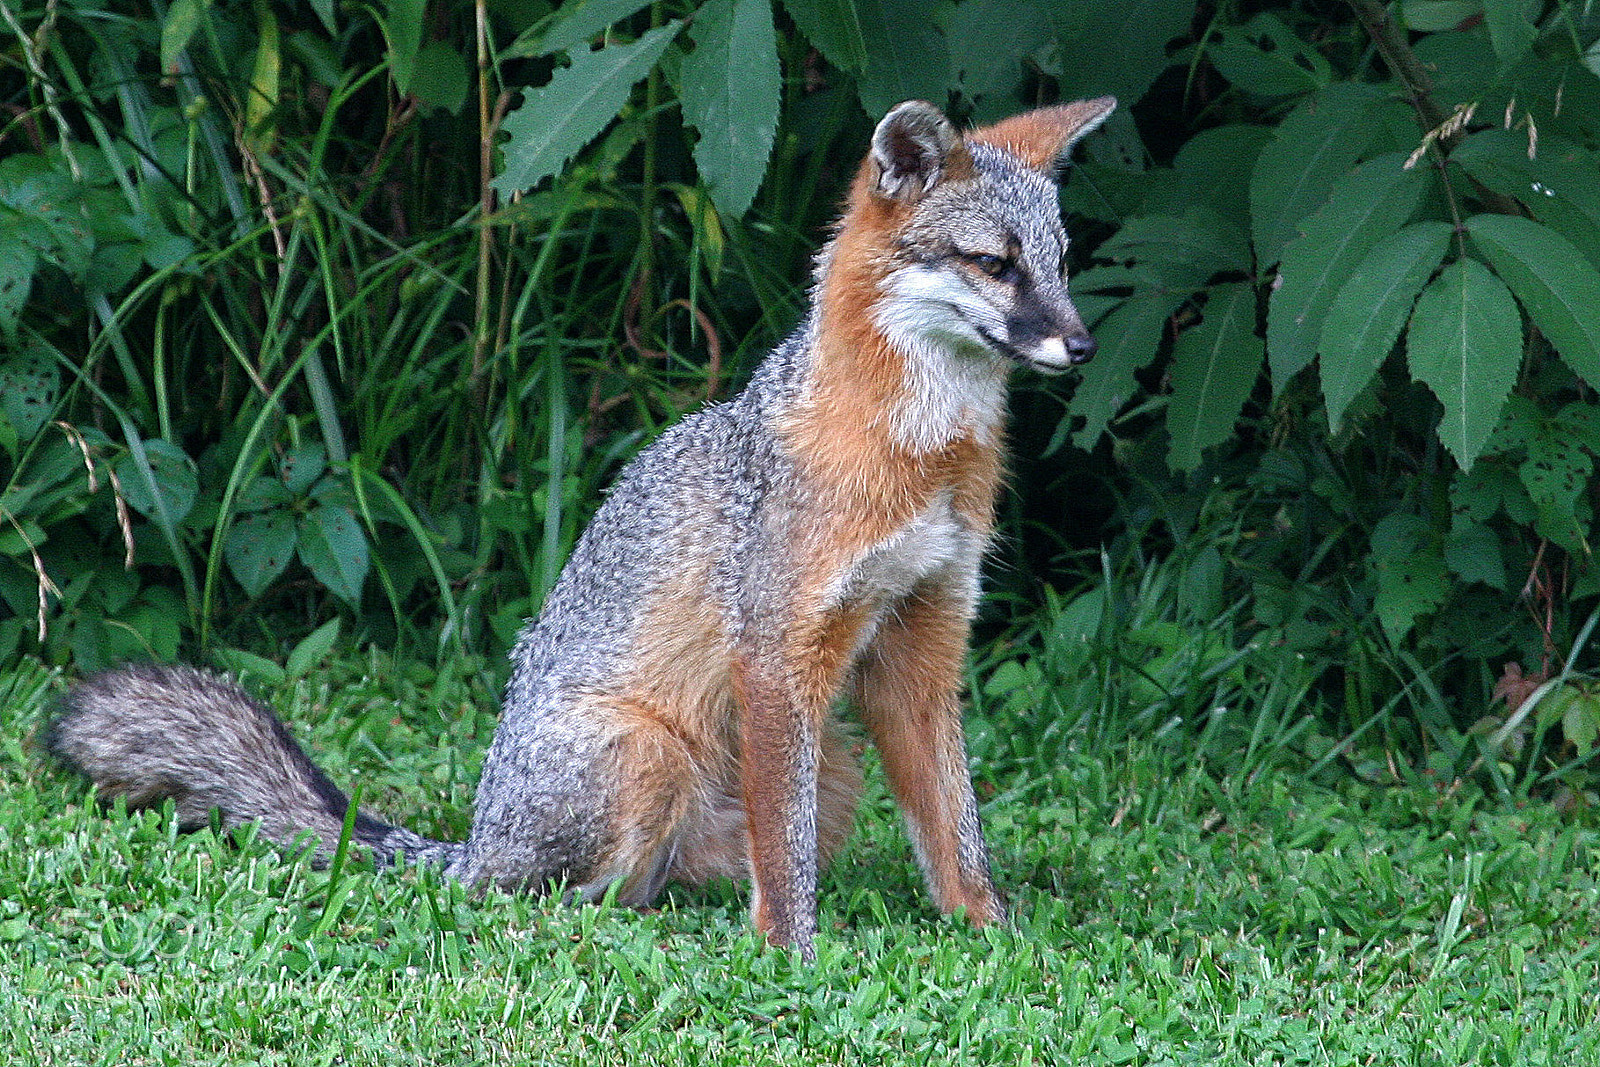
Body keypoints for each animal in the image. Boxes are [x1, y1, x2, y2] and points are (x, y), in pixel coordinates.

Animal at [47, 95, 1117, 960]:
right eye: (994, 265)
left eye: (1063, 264)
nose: (1082, 345)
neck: (921, 456)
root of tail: (472, 838)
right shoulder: (778, 655)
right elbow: (787, 861)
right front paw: (795, 953)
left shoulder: (921, 648)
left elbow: (954, 830)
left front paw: (992, 931)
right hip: (652, 758)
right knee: (536, 898)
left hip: (829, 770)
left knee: (646, 887)